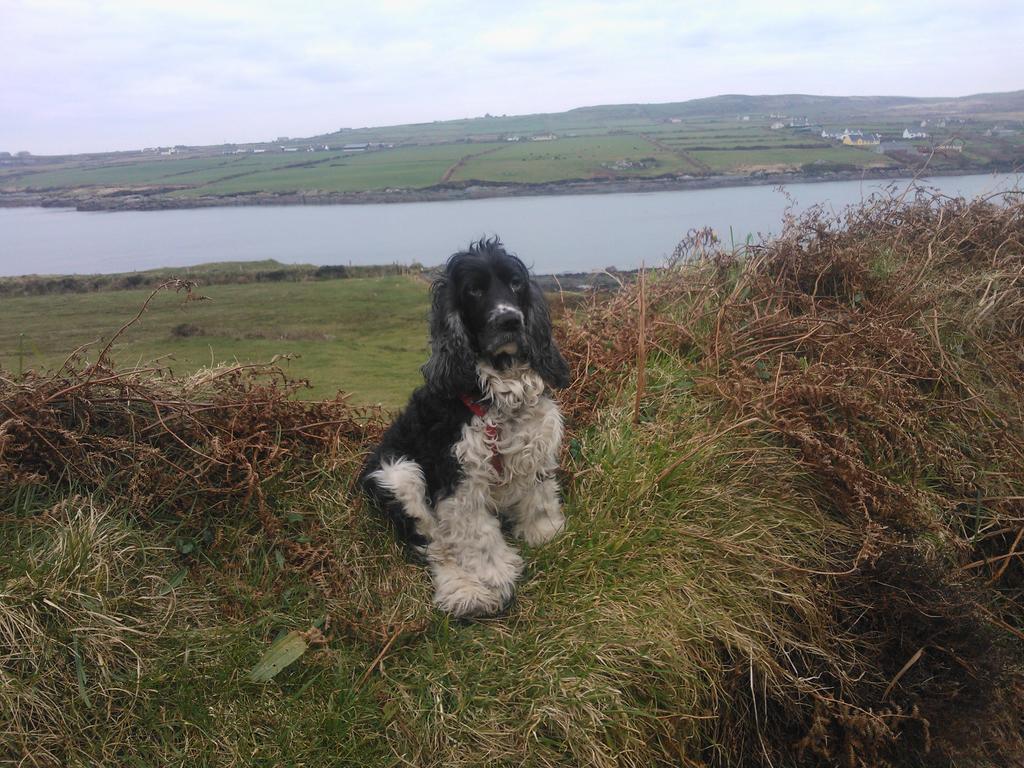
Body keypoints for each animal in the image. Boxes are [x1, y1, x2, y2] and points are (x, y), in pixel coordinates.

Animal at [358, 239, 569, 618]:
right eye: (474, 290)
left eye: (516, 283)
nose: (509, 319)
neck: (500, 396)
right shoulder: (461, 475)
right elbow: (477, 534)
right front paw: (497, 575)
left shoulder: (535, 448)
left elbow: (541, 498)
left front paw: (545, 532)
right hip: (399, 475)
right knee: (435, 545)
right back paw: (467, 593)